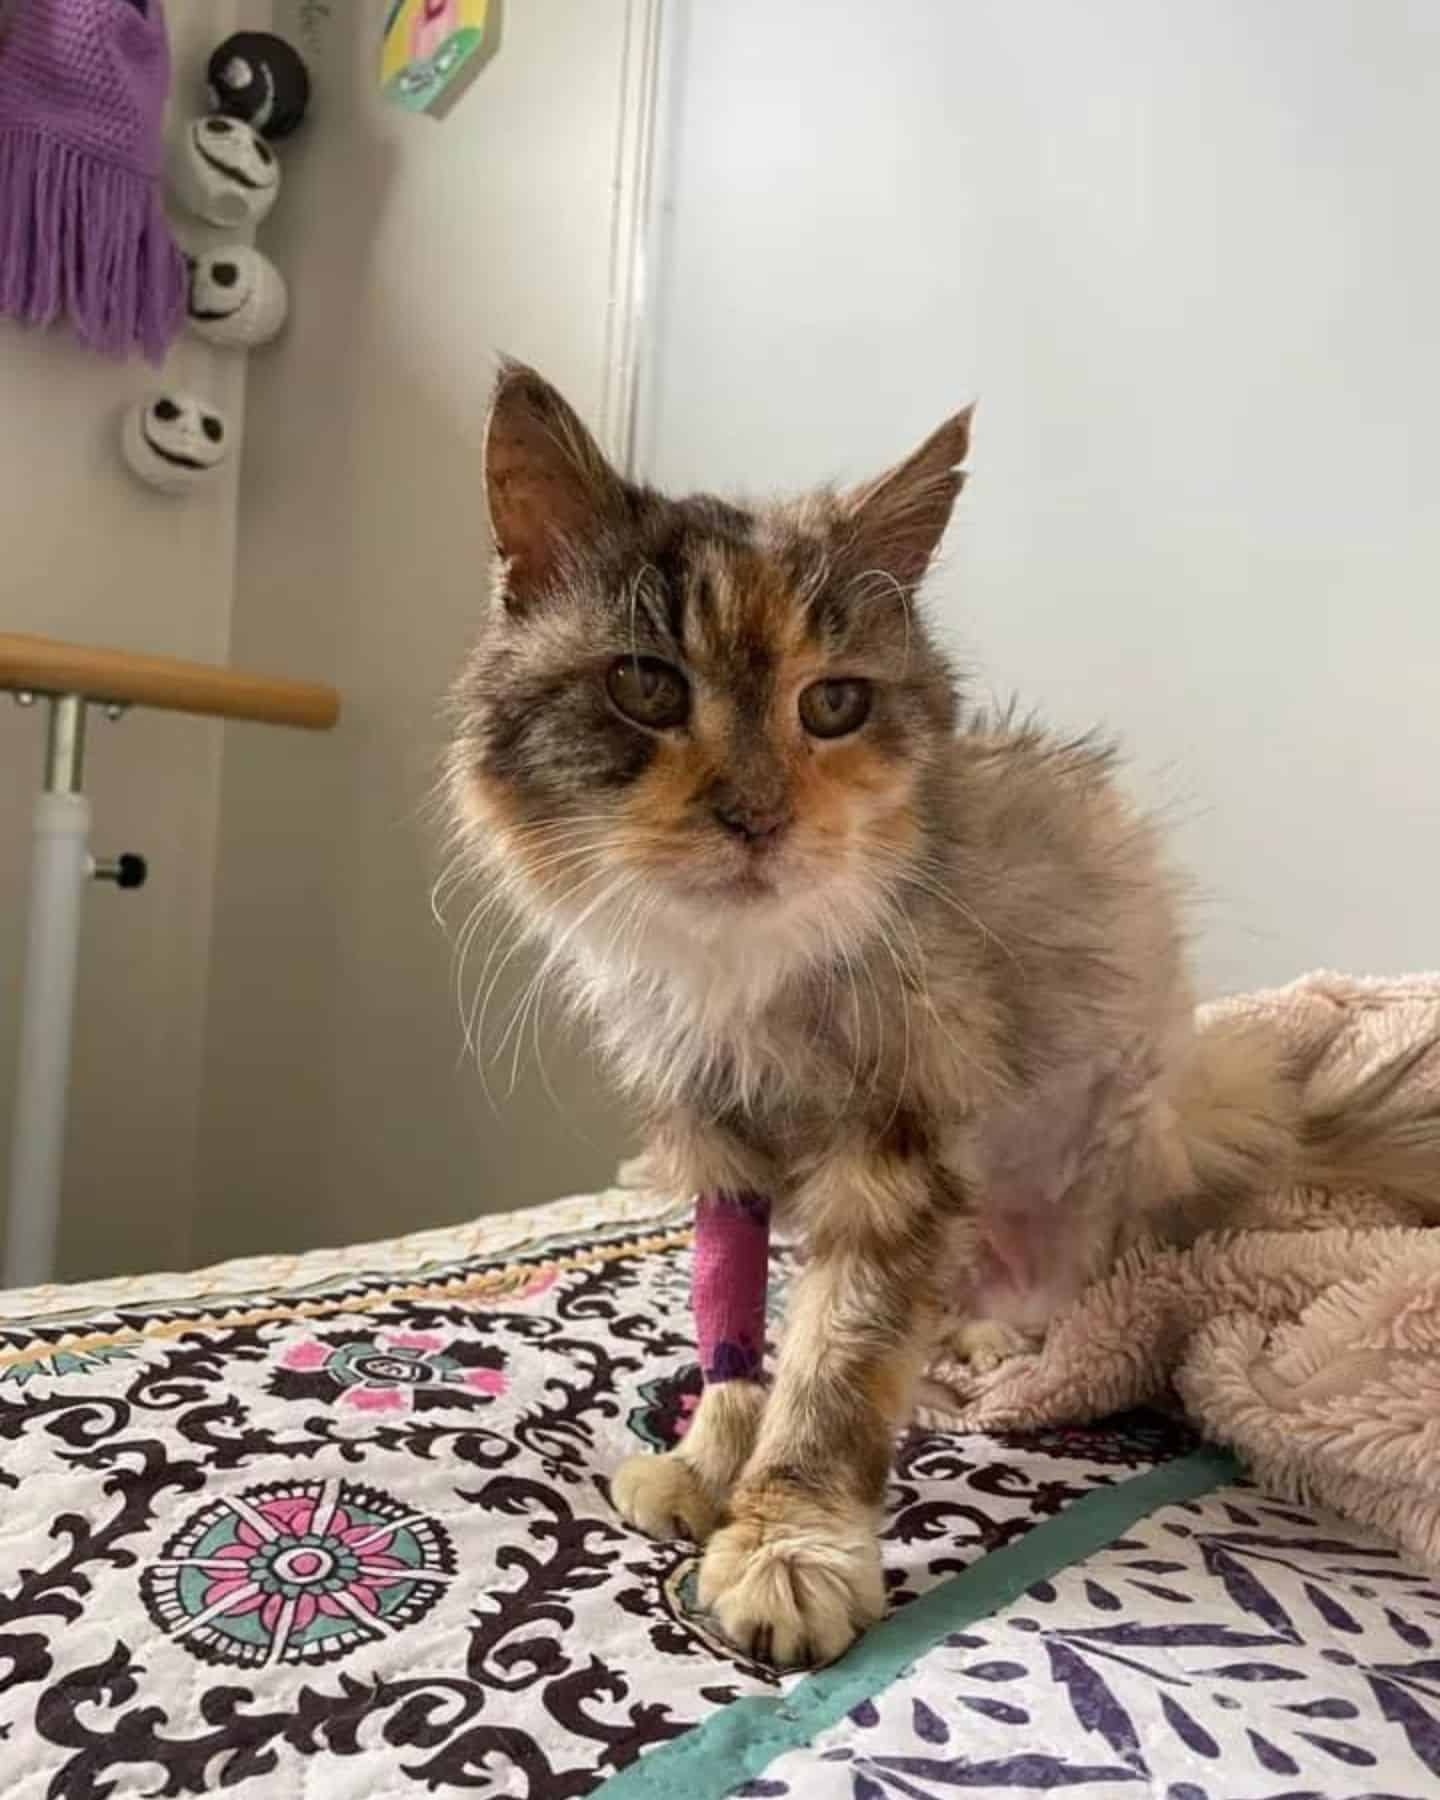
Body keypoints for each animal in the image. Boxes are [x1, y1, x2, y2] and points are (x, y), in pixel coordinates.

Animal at [444, 358, 1288, 1663]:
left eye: (833, 705)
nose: (755, 815)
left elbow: (835, 1367)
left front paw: (788, 1548)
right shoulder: (718, 1142)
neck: (742, 979)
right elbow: (735, 1336)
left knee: (1054, 1293)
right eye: (645, 686)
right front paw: (710, 1464)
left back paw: (989, 1342)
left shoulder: (899, 1148)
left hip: (1094, 1158)